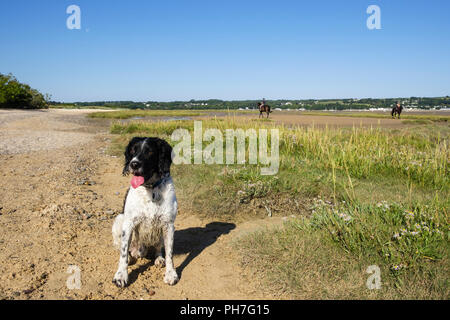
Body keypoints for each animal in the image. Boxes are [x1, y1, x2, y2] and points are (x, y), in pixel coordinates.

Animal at [111, 138, 178, 288]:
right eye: (132, 150)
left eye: (150, 151)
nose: (133, 164)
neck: (150, 189)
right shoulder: (128, 223)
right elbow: (123, 253)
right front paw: (121, 275)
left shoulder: (169, 224)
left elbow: (170, 253)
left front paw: (171, 274)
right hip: (119, 220)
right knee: (123, 248)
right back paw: (131, 257)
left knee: (158, 247)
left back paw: (159, 258)